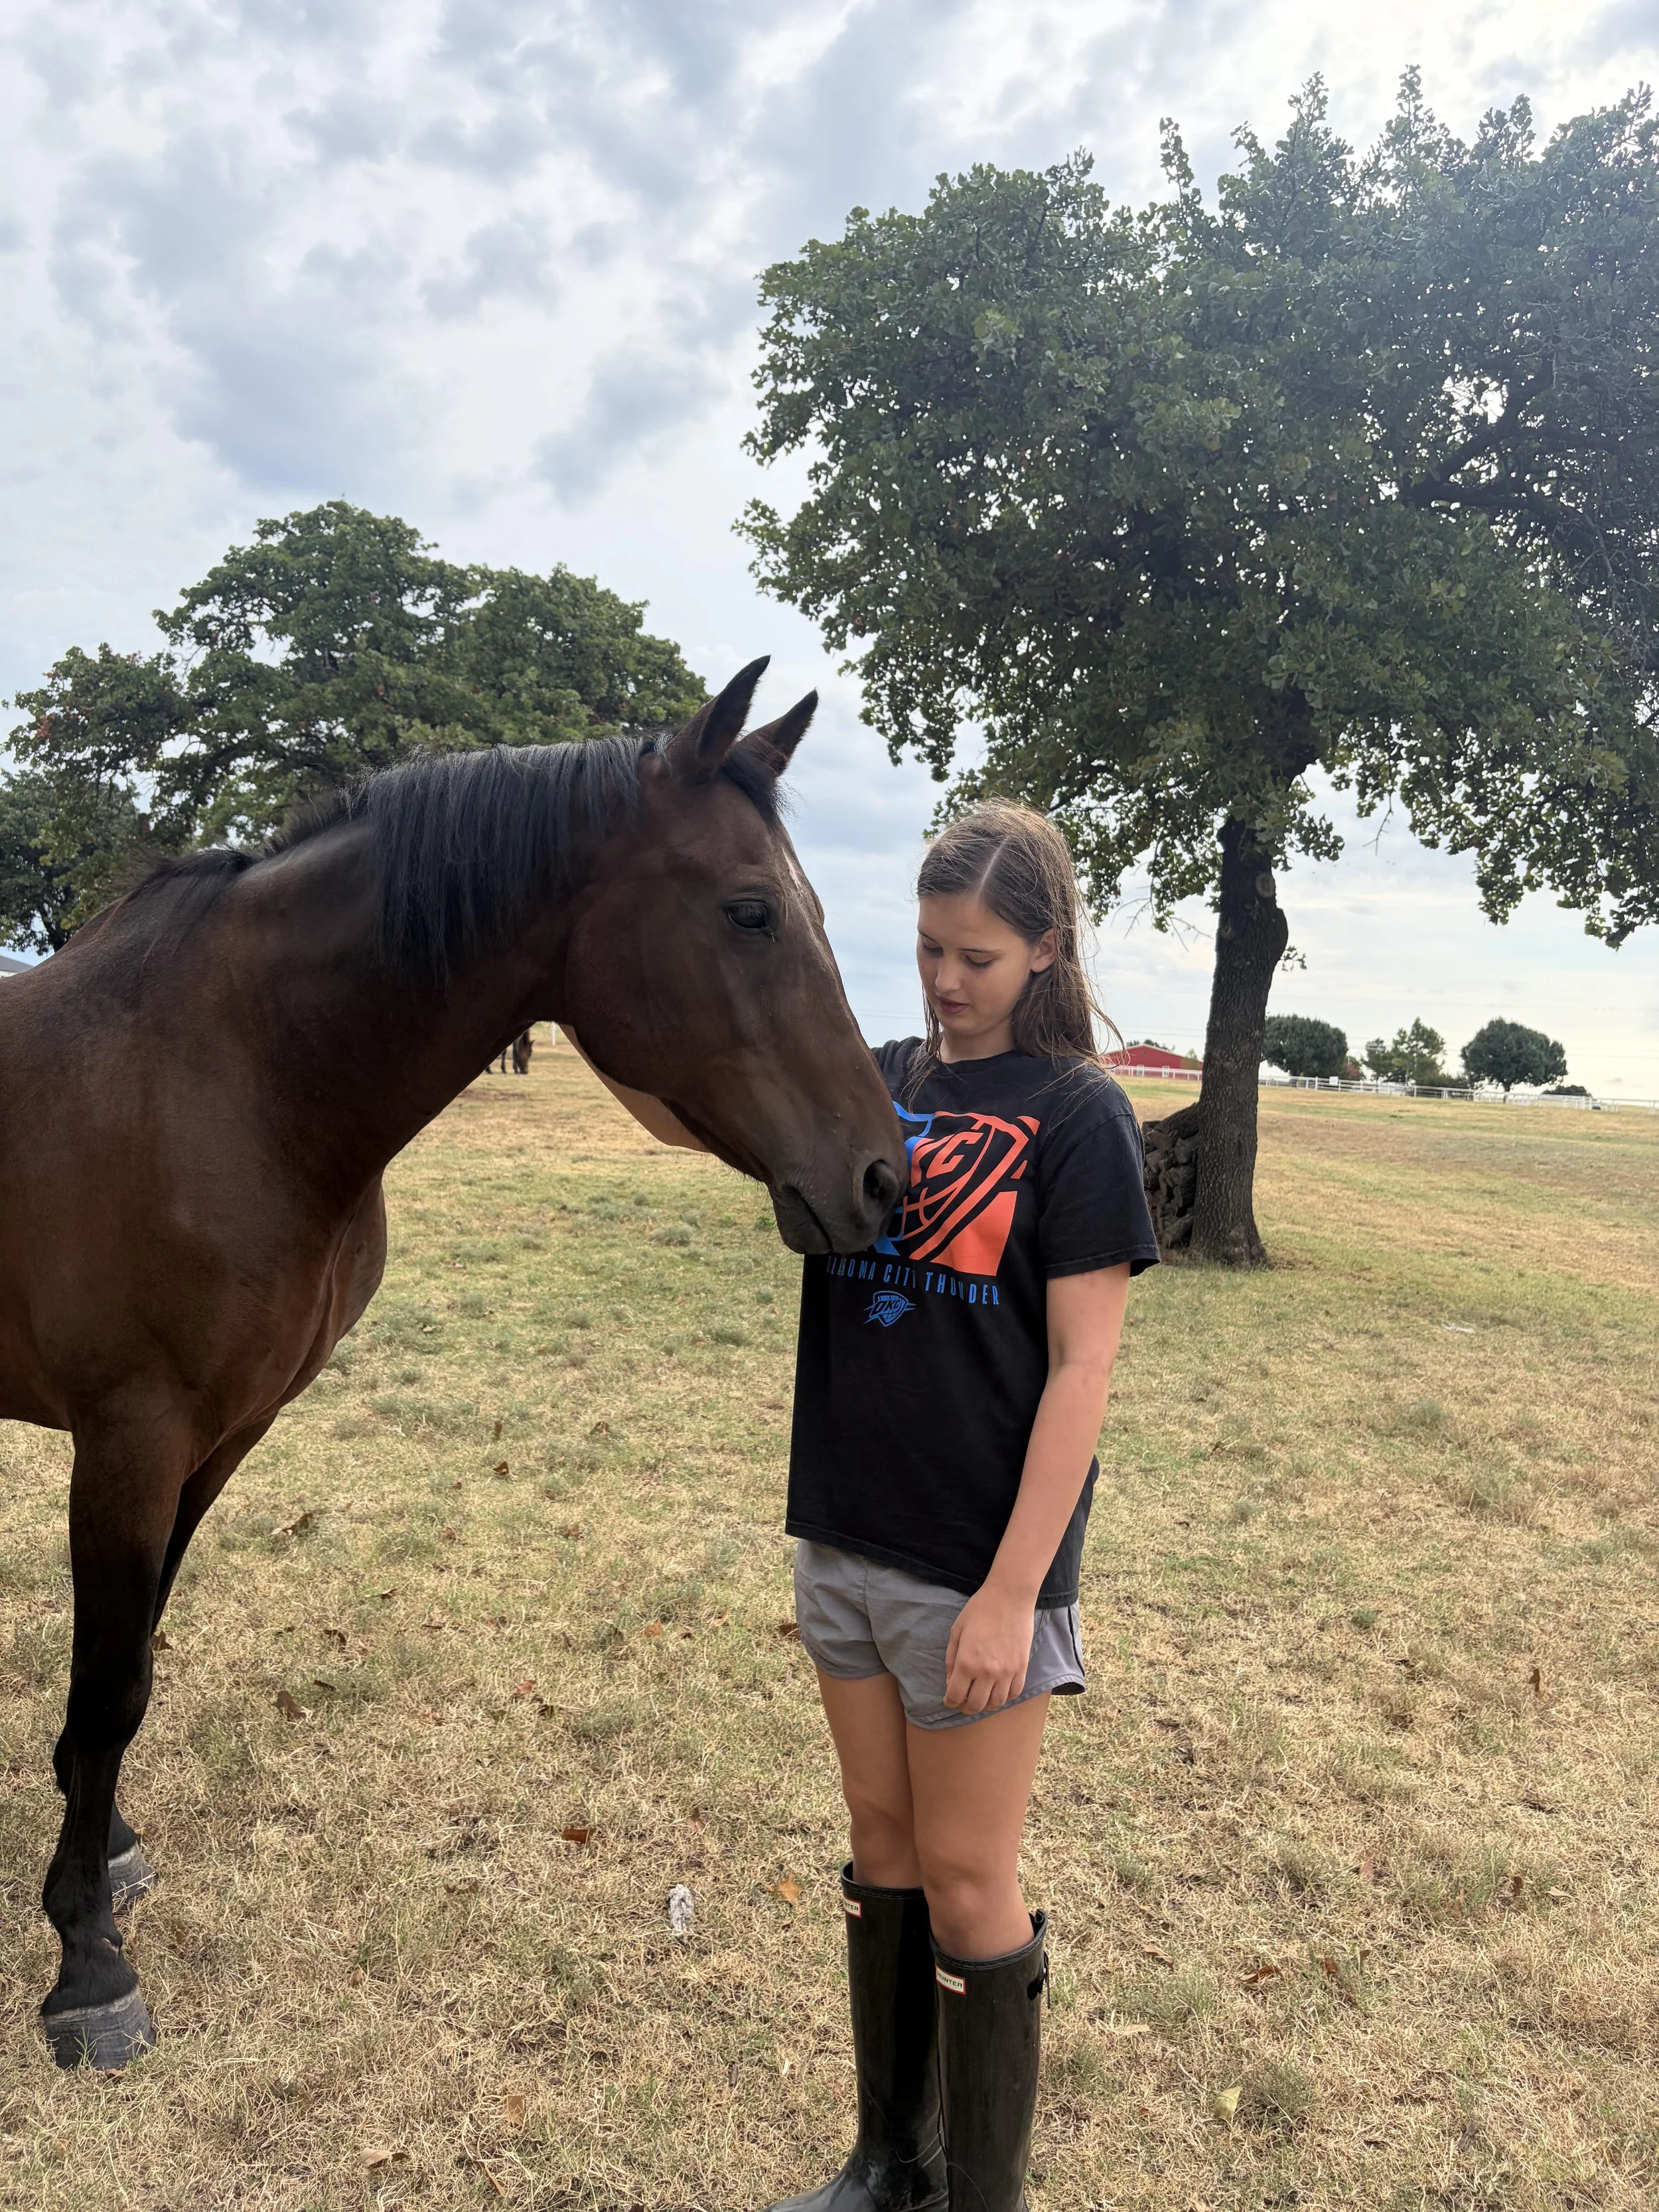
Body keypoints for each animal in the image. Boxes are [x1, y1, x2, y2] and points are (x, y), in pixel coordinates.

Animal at [0, 659, 903, 2069]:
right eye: (751, 910)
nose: (881, 1176)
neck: (230, 1075)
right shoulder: (131, 1439)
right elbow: (105, 1689)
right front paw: (87, 1960)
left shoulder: (218, 1436)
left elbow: (133, 1658)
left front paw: (108, 1852)